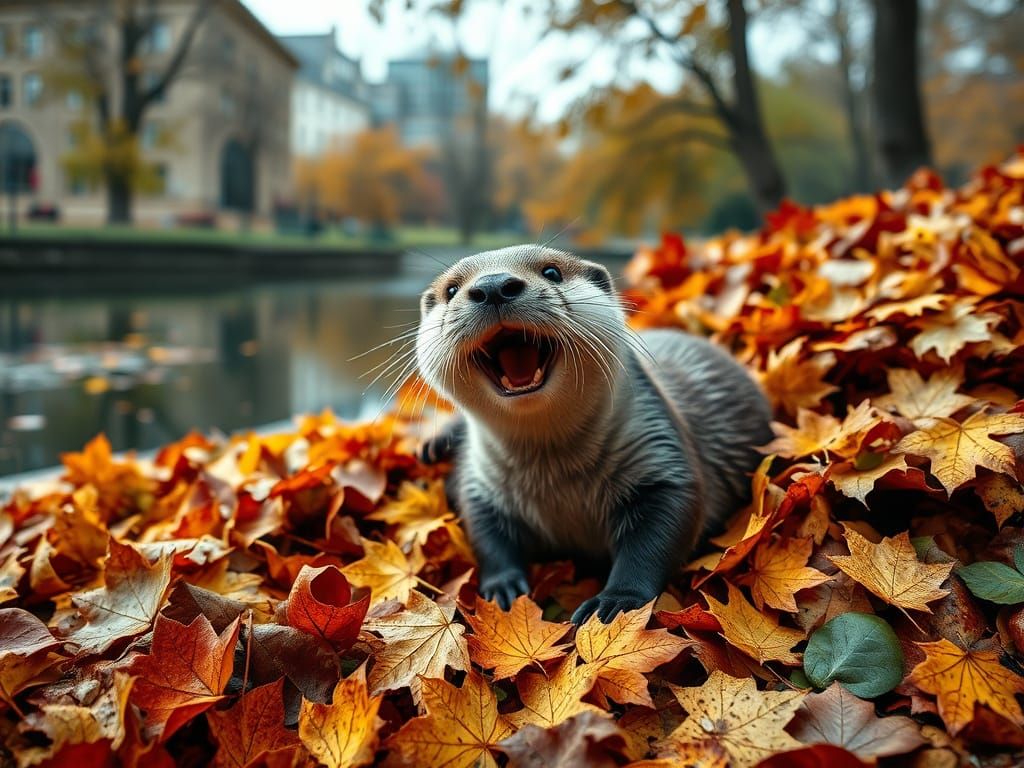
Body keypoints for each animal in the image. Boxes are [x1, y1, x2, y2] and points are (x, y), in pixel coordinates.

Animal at [415, 245, 772, 623]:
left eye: (552, 272)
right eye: (451, 289)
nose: (494, 285)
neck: (557, 484)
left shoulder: (662, 457)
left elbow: (658, 536)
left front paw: (617, 601)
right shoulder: (481, 482)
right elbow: (486, 534)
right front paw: (502, 589)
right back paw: (434, 445)